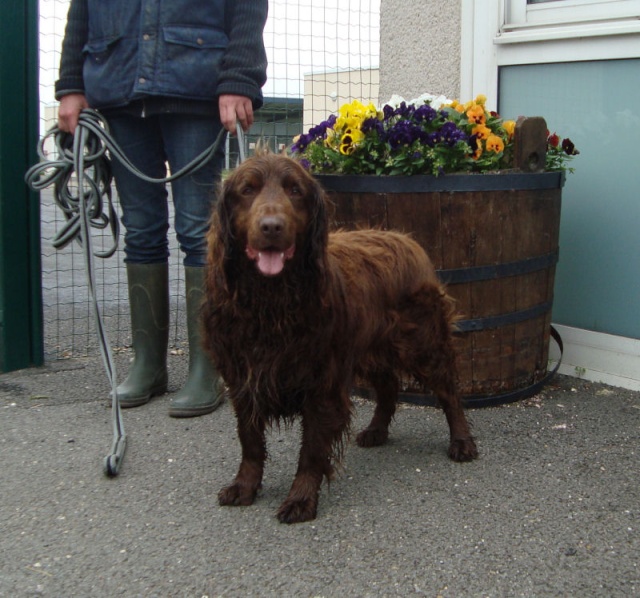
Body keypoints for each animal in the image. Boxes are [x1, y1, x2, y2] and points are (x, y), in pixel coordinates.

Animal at [202, 155, 478, 524]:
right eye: (247, 189)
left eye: (295, 190)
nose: (272, 227)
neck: (270, 301)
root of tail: (406, 240)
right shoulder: (242, 379)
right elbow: (250, 441)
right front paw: (244, 486)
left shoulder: (321, 382)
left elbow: (311, 451)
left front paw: (301, 499)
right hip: (371, 349)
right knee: (388, 388)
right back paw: (377, 430)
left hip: (423, 343)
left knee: (449, 391)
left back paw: (461, 441)